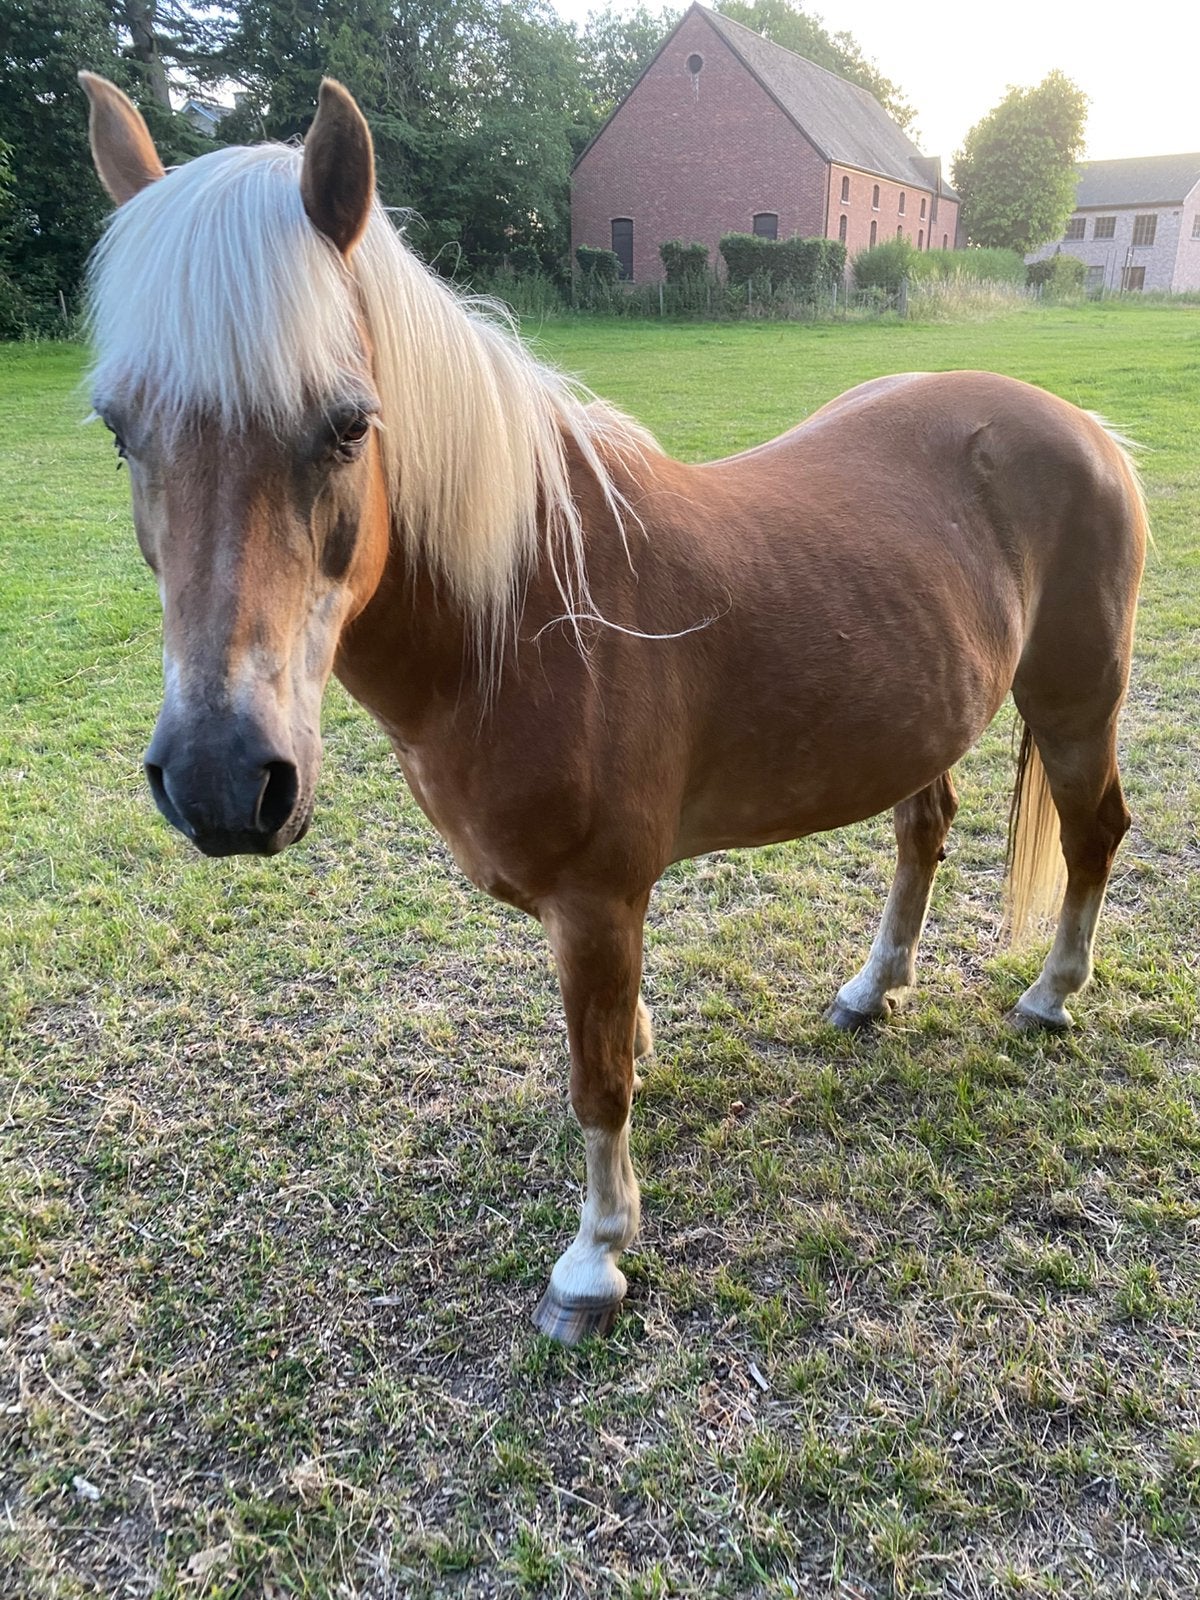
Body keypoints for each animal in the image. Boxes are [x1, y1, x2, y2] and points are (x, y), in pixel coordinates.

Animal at [79, 74, 1147, 1344]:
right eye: (118, 430)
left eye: (346, 423)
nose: (221, 782)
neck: (530, 614)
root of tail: (1083, 427)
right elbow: (608, 1048)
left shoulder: (596, 901)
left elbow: (597, 1084)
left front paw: (593, 1263)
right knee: (922, 831)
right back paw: (872, 988)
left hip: (1077, 705)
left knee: (1093, 834)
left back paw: (1050, 996)